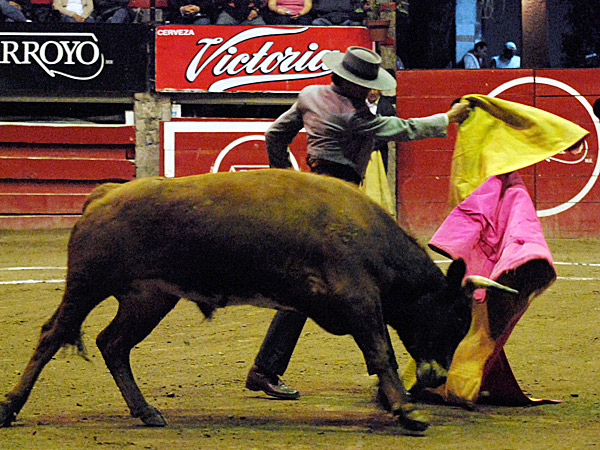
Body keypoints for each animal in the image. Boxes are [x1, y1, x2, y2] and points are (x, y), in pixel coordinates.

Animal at [0, 170, 516, 432]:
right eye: (455, 314)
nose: (437, 377)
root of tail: (105, 195)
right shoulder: (359, 300)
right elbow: (381, 352)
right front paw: (408, 411)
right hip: (87, 284)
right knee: (52, 336)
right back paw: (10, 408)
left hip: (148, 298)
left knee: (113, 344)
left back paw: (147, 412)